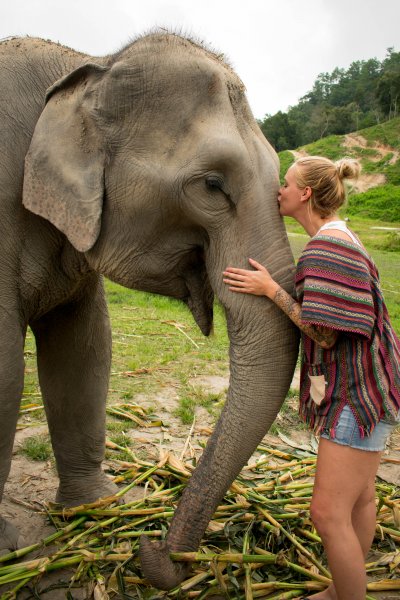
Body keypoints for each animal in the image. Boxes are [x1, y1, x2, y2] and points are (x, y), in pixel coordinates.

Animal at [0, 29, 296, 584]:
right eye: (212, 184)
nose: (151, 550)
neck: (87, 64)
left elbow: (85, 349)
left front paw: (95, 509)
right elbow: (7, 369)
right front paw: (11, 549)